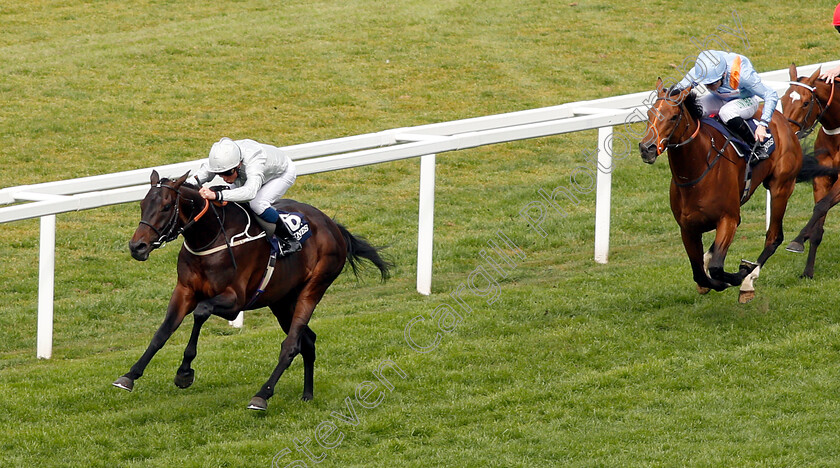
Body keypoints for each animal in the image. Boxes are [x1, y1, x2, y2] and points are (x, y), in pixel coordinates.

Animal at [113, 171, 392, 410]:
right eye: (142, 205)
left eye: (166, 206)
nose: (137, 247)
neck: (210, 238)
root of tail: (332, 226)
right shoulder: (184, 290)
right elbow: (162, 332)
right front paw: (130, 375)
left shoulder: (235, 301)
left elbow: (201, 312)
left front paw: (184, 372)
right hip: (282, 301)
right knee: (308, 341)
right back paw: (307, 394)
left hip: (313, 288)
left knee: (291, 345)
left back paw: (262, 395)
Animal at [644, 78, 800, 302]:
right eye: (649, 113)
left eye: (673, 117)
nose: (646, 148)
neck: (696, 173)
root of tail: (781, 118)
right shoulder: (687, 228)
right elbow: (699, 273)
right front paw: (708, 281)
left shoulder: (728, 219)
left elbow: (717, 268)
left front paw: (741, 273)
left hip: (781, 186)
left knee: (773, 237)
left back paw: (748, 282)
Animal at [776, 65, 840, 278]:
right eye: (783, 99)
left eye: (805, 103)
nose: (787, 133)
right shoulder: (823, 178)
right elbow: (819, 221)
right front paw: (808, 271)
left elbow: (821, 206)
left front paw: (798, 240)